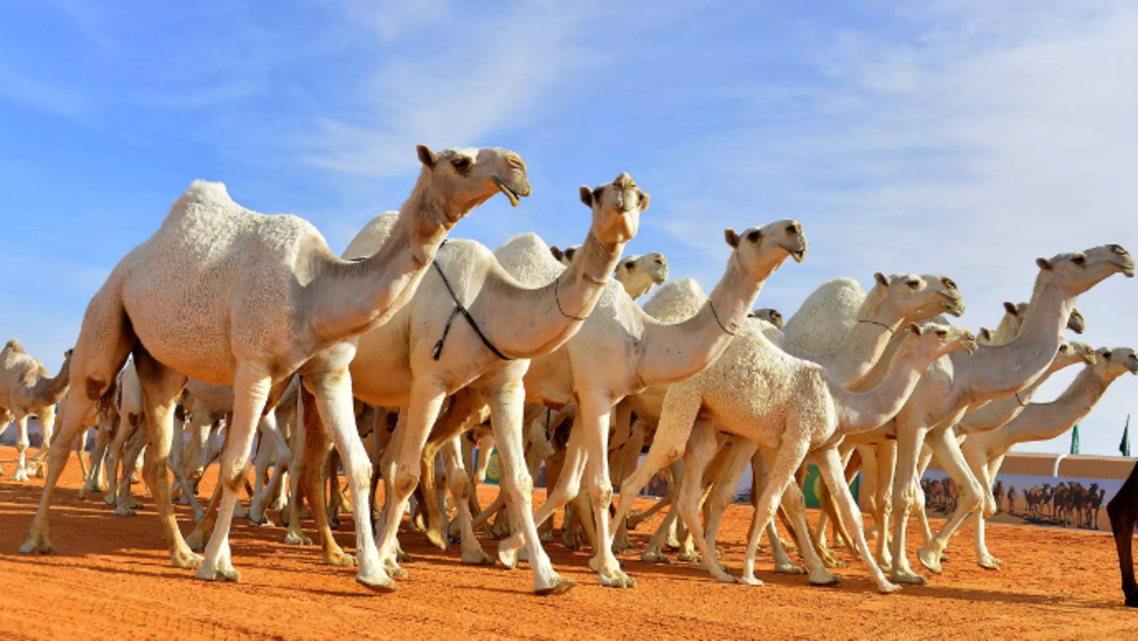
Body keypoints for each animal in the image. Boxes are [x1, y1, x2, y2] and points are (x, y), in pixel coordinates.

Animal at [0, 341, 73, 481]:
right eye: (72, 352)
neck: (37, 387)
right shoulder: (19, 409)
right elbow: (23, 443)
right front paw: (20, 475)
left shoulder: (47, 411)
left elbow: (47, 443)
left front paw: (30, 468)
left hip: (5, 410)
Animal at [19, 145, 530, 594]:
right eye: (459, 161)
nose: (518, 167)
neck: (314, 289)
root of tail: (131, 261)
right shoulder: (254, 366)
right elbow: (234, 466)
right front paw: (217, 566)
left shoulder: (328, 373)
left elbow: (359, 465)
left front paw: (372, 572)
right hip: (106, 315)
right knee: (71, 429)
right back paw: (39, 538)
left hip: (160, 365)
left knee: (158, 456)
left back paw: (180, 552)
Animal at [497, 221, 809, 588]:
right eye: (754, 235)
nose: (795, 229)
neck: (642, 337)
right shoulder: (596, 394)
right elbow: (602, 486)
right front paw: (610, 569)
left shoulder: (590, 395)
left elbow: (569, 486)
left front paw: (510, 550)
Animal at [960, 347, 1138, 565]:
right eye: (1107, 353)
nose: (1134, 356)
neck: (1015, 422)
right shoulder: (975, 449)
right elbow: (981, 500)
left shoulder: (995, 453)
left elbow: (982, 499)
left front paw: (980, 555)